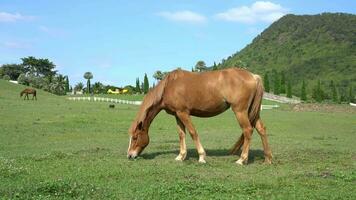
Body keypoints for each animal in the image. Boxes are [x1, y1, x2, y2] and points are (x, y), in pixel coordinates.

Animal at [128, 68, 272, 165]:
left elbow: (193, 132)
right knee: (261, 129)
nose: (129, 155)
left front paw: (202, 157)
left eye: (135, 137)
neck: (169, 86)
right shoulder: (177, 114)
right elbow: (181, 134)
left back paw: (241, 160)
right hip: (252, 112)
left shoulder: (183, 113)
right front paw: (181, 156)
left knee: (248, 130)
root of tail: (254, 76)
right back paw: (268, 159)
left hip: (240, 111)